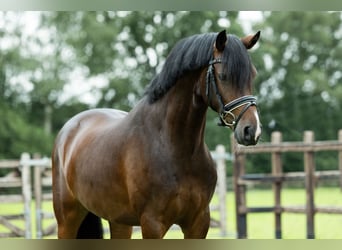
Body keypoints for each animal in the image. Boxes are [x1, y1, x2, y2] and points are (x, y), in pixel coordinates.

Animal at [51, 29, 262, 238]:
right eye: (224, 75)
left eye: (253, 75)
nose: (251, 130)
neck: (175, 148)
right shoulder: (152, 223)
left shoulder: (199, 222)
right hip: (67, 219)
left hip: (119, 221)